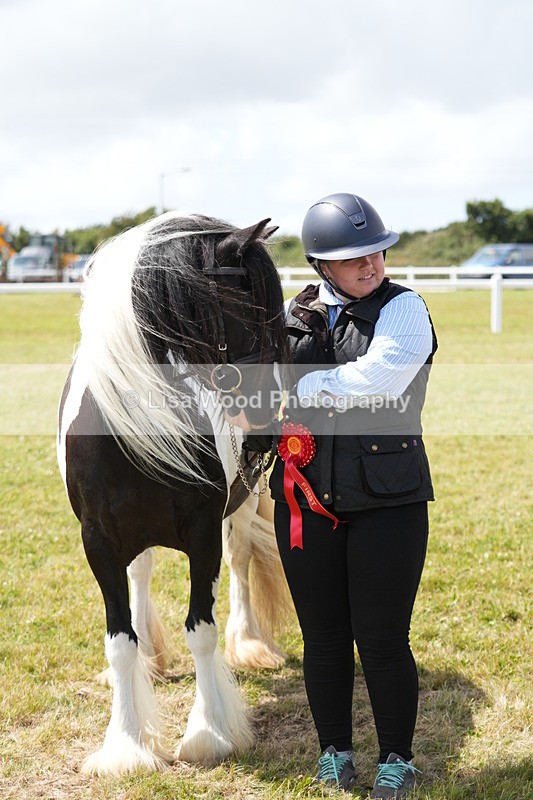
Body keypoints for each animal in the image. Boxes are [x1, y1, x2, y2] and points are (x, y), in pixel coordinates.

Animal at [56, 211, 291, 775]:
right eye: (255, 312)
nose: (268, 427)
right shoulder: (98, 543)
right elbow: (118, 642)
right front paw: (125, 745)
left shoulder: (203, 534)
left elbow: (201, 630)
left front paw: (209, 734)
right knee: (140, 573)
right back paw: (152, 659)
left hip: (239, 511)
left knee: (241, 561)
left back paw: (249, 644)